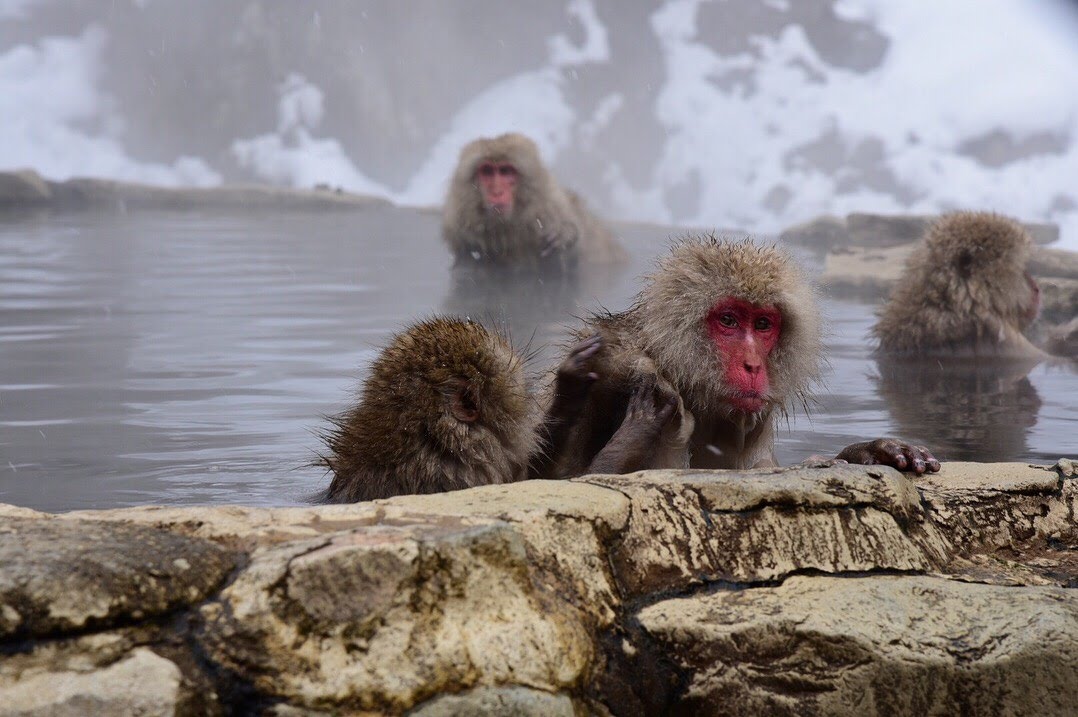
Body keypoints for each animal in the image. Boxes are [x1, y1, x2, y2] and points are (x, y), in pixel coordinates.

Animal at [437, 132, 625, 271]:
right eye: (487, 171)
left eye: (505, 171)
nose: (496, 192)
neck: (508, 230)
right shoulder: (461, 232)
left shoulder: (551, 210)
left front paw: (565, 235)